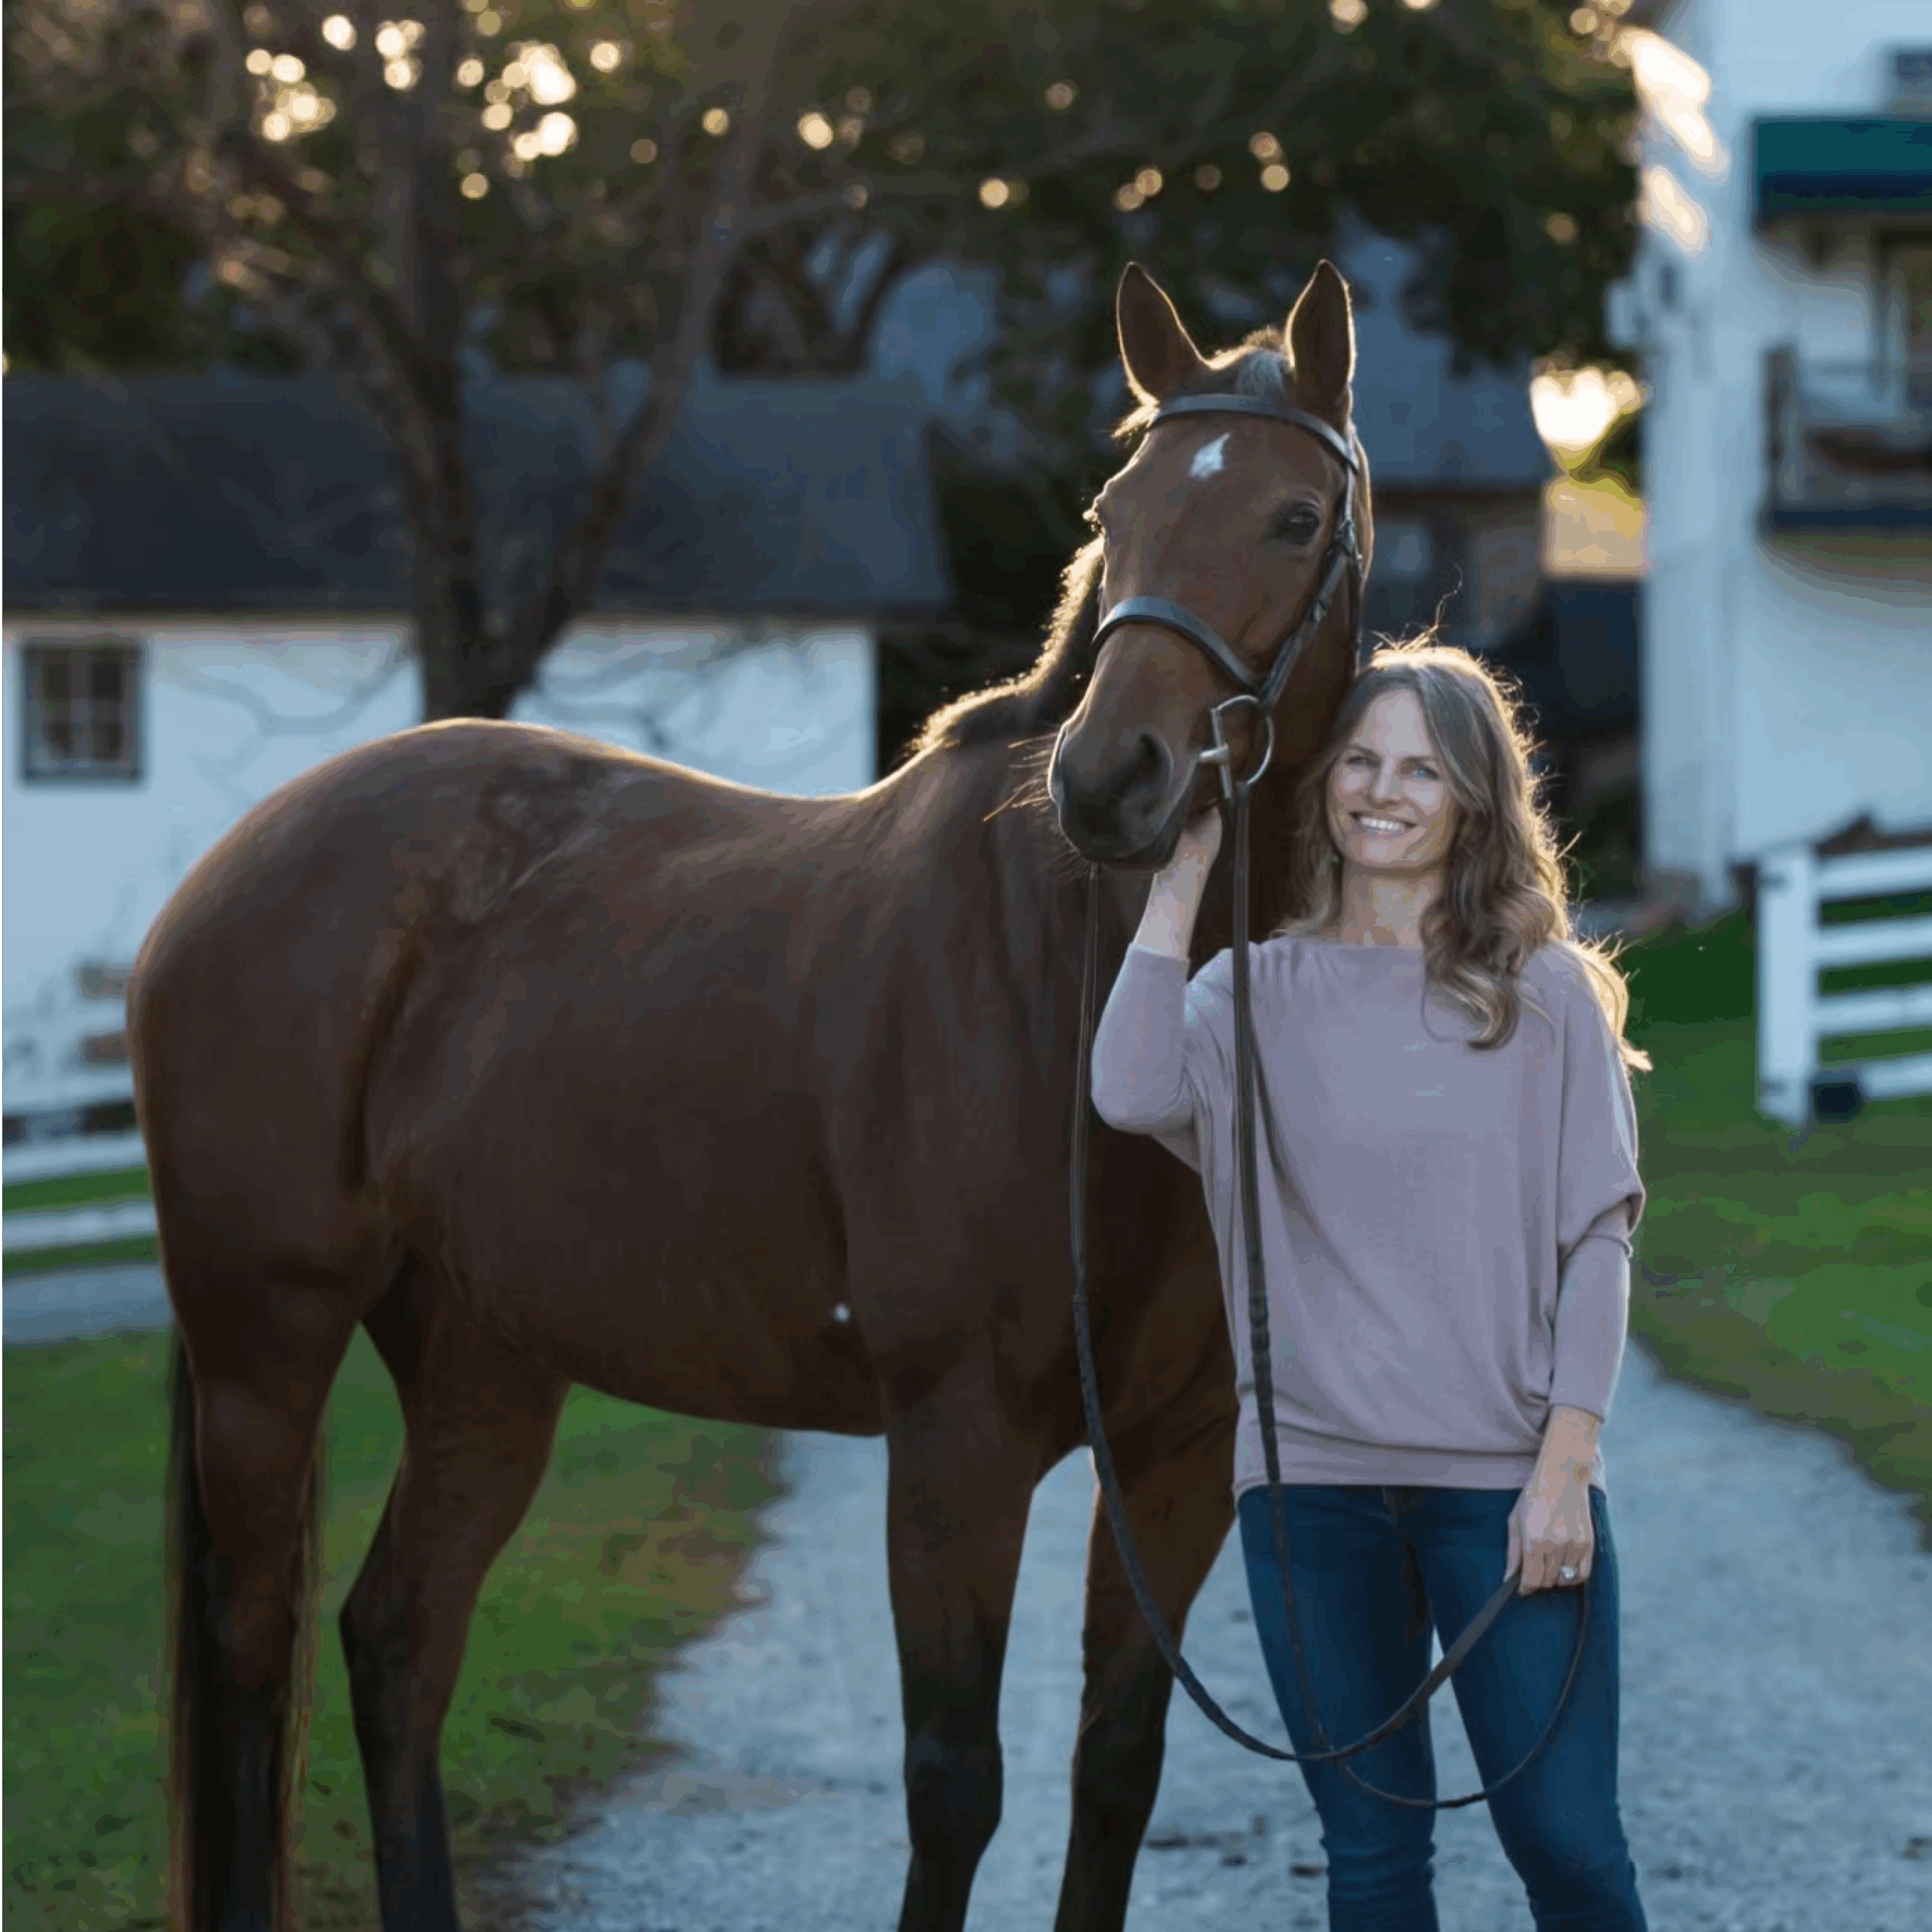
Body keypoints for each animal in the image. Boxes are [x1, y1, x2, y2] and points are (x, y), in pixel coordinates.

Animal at [132, 255, 1371, 1932]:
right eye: (1113, 506)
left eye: (1294, 518)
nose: (1113, 779)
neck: (1083, 1003)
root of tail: (231, 867)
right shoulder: (953, 1447)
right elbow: (953, 1785)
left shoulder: (1174, 1461)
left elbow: (1114, 1768)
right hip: (263, 1344)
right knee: (256, 1663)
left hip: (481, 1363)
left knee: (396, 1644)